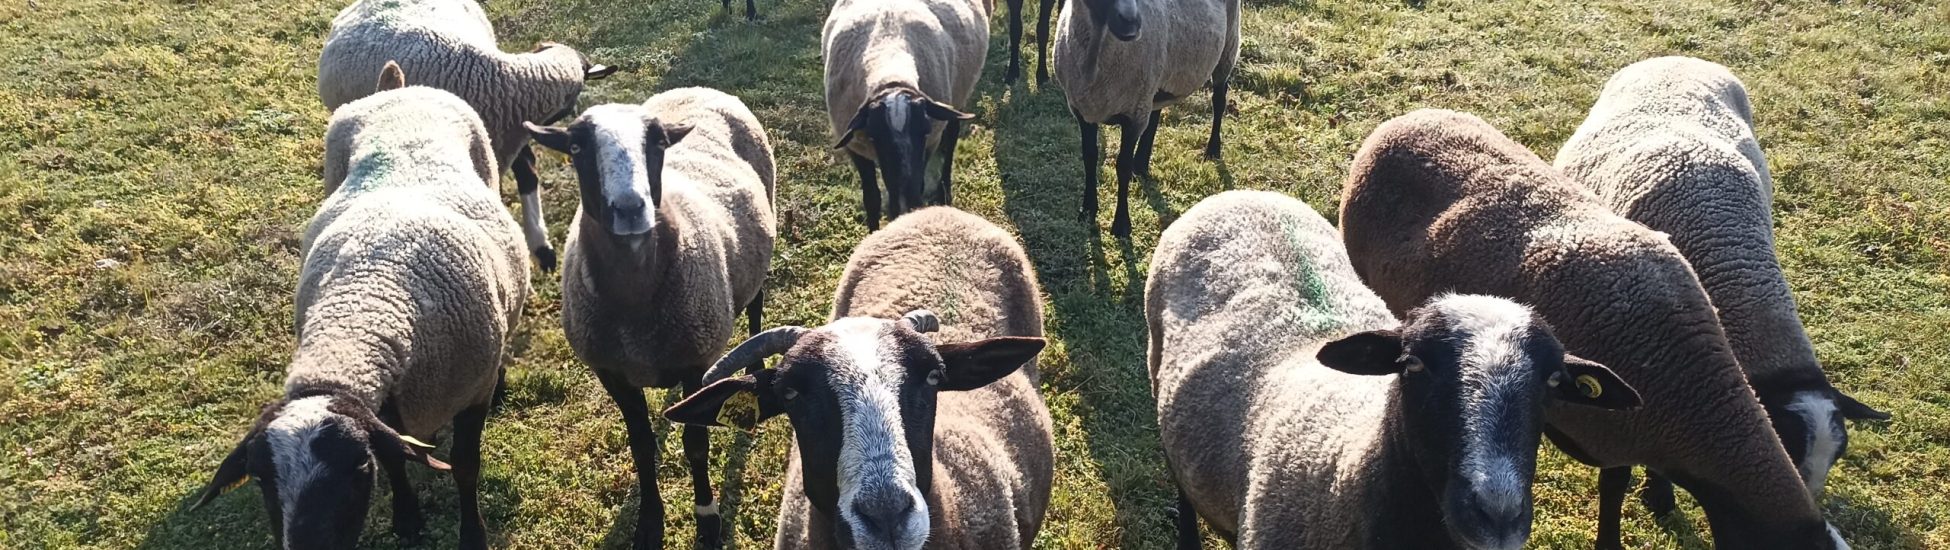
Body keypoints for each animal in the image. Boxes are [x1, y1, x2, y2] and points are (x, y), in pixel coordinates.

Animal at [193, 63, 529, 550]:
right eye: (260, 479)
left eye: (357, 468)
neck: (360, 313)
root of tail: (398, 89)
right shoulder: (385, 408)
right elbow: (395, 455)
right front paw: (407, 518)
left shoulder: (471, 393)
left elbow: (465, 467)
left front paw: (472, 535)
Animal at [522, 86, 775, 550]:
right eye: (577, 147)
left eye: (656, 143)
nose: (630, 208)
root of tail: (697, 89)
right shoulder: (611, 371)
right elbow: (640, 445)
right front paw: (649, 522)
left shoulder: (695, 360)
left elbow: (696, 443)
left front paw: (707, 518)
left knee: (756, 302)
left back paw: (756, 361)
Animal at [824, 0, 985, 231]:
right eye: (874, 136)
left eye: (924, 131)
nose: (904, 205)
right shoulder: (855, 147)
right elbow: (871, 199)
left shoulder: (930, 143)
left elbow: (920, 182)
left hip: (959, 93)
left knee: (952, 135)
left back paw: (944, 192)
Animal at [1051, 0, 1239, 237]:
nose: (1131, 23)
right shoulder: (1083, 111)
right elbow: (1089, 157)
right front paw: (1087, 210)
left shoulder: (1134, 114)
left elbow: (1122, 166)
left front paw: (1121, 224)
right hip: (1156, 80)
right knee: (1156, 112)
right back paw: (1140, 164)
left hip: (1228, 47)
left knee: (1219, 100)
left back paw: (1213, 149)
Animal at [1339, 108, 1851, 549]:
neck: (1691, 393)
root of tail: (1408, 118)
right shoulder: (1611, 432)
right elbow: (1612, 488)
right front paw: (1613, 538)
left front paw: (1660, 496)